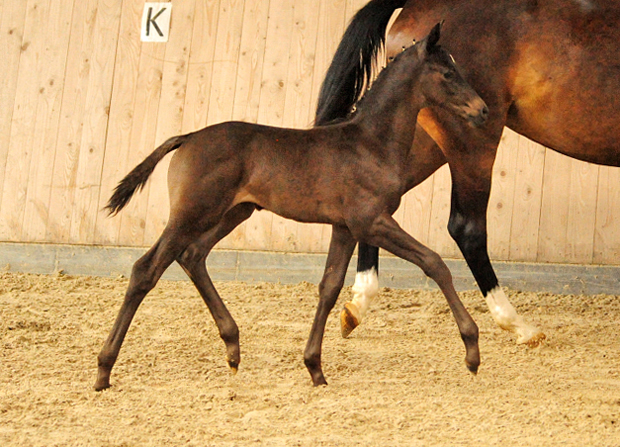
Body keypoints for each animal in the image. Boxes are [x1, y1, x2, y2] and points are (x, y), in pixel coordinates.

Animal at [94, 23, 486, 392]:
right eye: (447, 73)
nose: (481, 111)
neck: (370, 143)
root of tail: (188, 138)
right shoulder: (370, 221)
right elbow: (434, 263)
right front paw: (472, 351)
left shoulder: (345, 227)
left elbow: (329, 287)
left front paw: (315, 368)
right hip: (192, 214)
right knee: (146, 270)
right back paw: (104, 369)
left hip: (234, 212)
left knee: (193, 256)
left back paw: (232, 348)